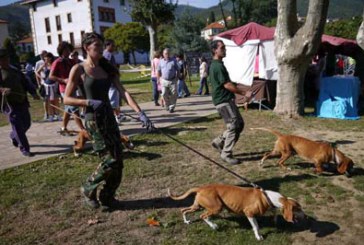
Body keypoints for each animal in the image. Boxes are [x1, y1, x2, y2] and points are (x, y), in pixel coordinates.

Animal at [169, 183, 306, 240]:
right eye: (298, 208)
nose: (306, 216)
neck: (267, 197)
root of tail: (201, 188)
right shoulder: (249, 213)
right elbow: (256, 226)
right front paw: (259, 236)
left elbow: (275, 214)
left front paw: (275, 220)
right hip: (216, 207)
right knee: (204, 216)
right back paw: (214, 226)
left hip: (197, 206)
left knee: (184, 210)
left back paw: (187, 221)